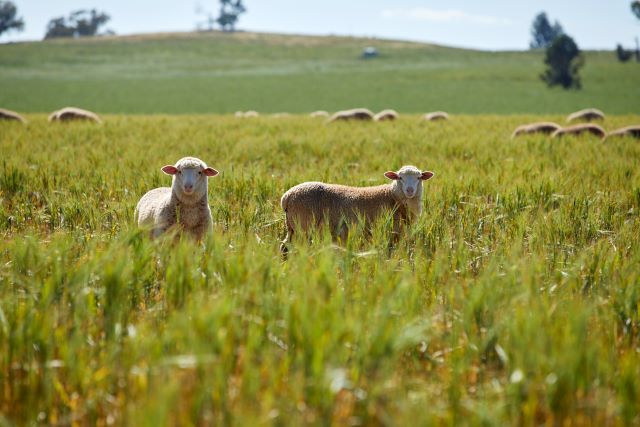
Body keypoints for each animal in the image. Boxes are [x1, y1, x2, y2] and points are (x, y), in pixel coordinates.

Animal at [279, 165, 435, 253]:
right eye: (400, 178)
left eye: (419, 177)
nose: (410, 190)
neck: (393, 196)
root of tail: (287, 197)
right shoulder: (392, 231)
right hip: (303, 226)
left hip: (292, 227)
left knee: (285, 246)